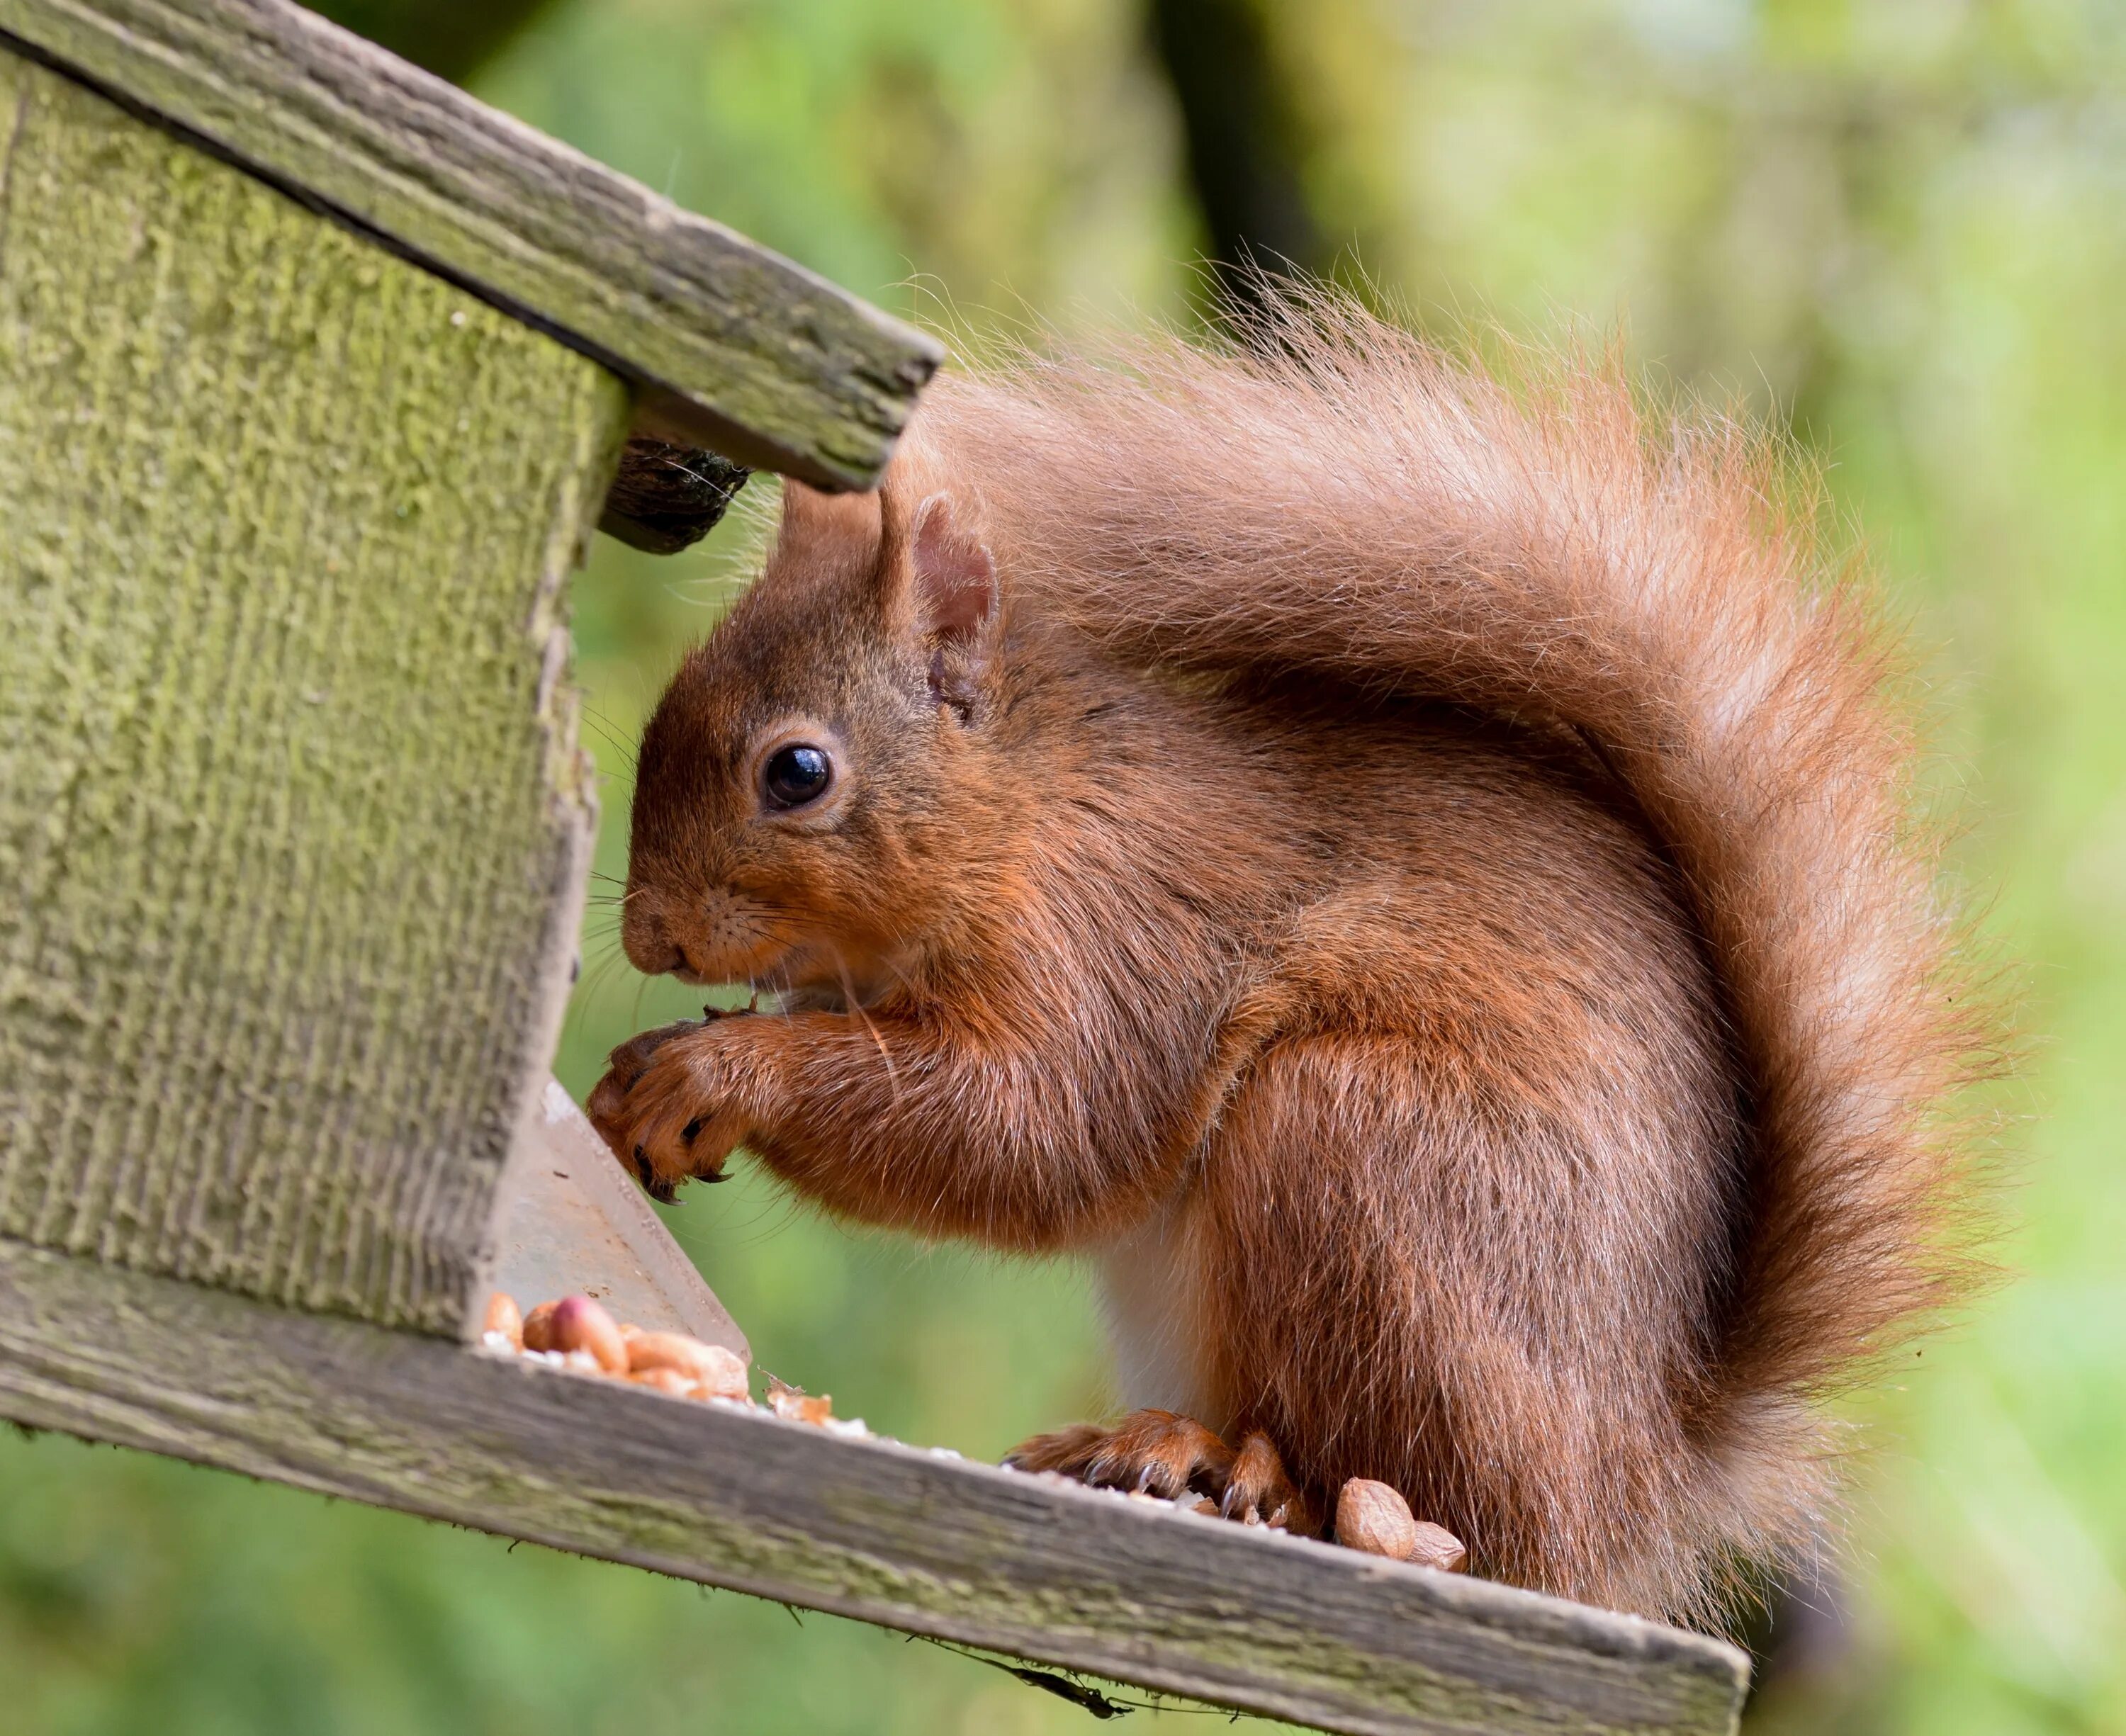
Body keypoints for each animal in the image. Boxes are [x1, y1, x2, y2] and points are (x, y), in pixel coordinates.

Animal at [578, 297, 1973, 1623]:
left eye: (798, 773)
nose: (650, 935)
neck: (1028, 809)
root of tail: (1642, 1481)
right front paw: (644, 1064)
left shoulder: (1118, 947)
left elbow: (1027, 1128)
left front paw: (720, 1074)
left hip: (1362, 1153)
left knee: (1439, 1509)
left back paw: (1247, 1472)